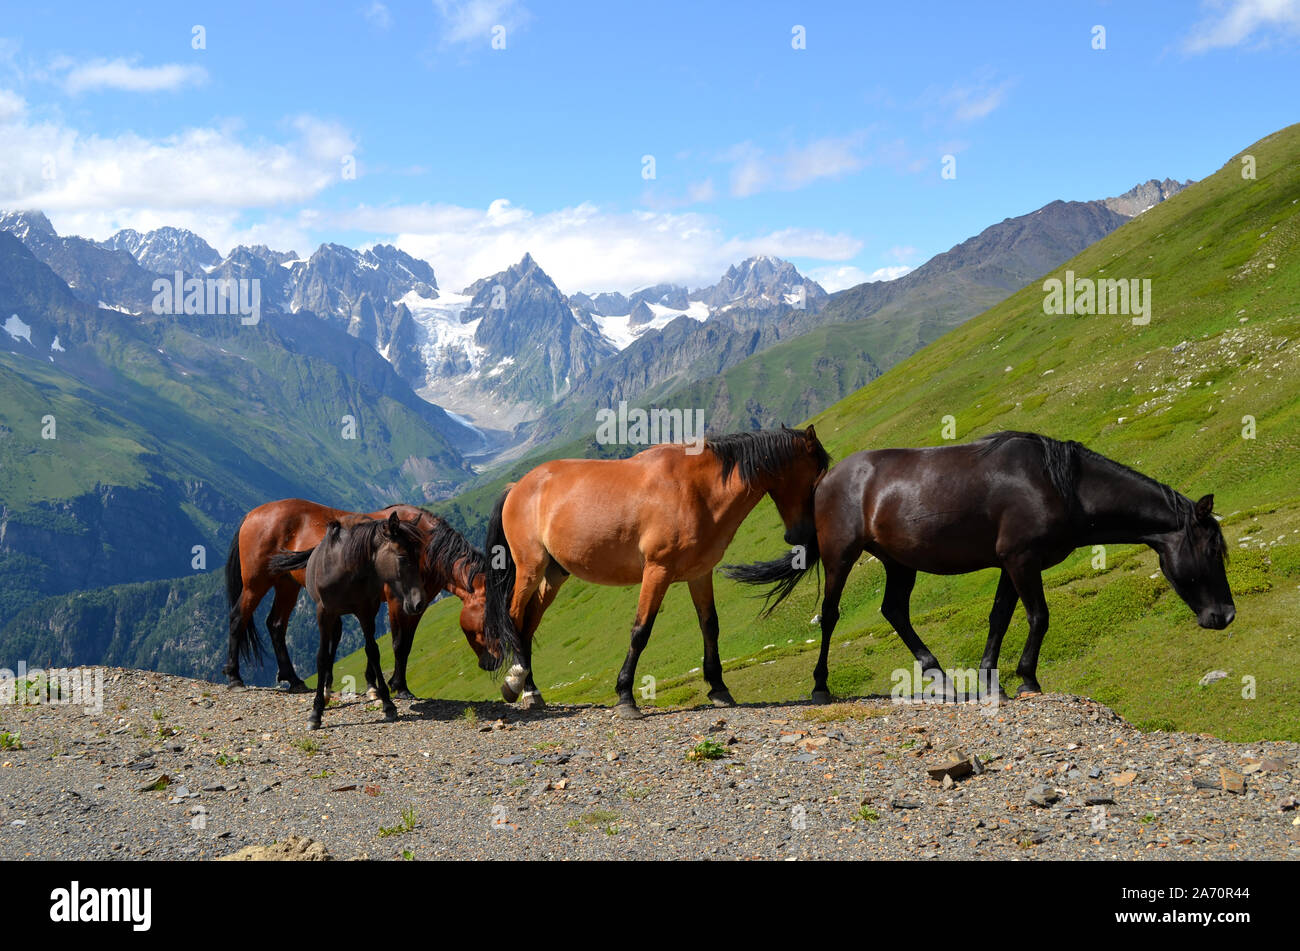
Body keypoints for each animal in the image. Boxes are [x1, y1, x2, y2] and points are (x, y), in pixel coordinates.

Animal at [223, 499, 498, 696]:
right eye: (489, 623)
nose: (493, 663)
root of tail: (252, 515)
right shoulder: (397, 602)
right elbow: (397, 643)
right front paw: (398, 687)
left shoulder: (416, 605)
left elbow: (401, 644)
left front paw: (385, 684)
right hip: (256, 583)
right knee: (238, 617)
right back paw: (235, 677)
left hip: (286, 585)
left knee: (276, 625)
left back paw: (294, 679)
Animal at [268, 513, 426, 729]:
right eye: (402, 557)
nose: (418, 603)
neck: (345, 568)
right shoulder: (323, 613)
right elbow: (322, 657)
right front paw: (316, 712)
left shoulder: (366, 611)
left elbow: (372, 651)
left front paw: (388, 704)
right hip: (332, 615)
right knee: (331, 646)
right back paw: (326, 692)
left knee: (337, 640)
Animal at [483, 426, 830, 718]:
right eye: (816, 477)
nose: (802, 535)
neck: (698, 489)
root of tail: (518, 486)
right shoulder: (657, 570)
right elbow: (641, 631)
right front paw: (625, 696)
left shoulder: (700, 573)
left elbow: (710, 626)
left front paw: (719, 688)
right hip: (531, 568)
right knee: (514, 617)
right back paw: (517, 685)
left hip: (554, 574)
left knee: (528, 624)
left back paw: (531, 689)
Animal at [725, 430, 1235, 701]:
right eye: (1212, 550)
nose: (1225, 616)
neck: (1061, 485)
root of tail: (827, 478)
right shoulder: (1023, 560)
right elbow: (1039, 616)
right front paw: (1027, 679)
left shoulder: (1011, 563)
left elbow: (1000, 617)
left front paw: (992, 681)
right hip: (840, 557)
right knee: (830, 616)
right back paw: (821, 687)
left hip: (900, 563)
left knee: (894, 611)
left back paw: (938, 675)